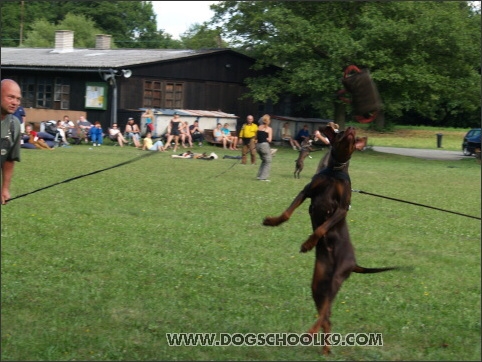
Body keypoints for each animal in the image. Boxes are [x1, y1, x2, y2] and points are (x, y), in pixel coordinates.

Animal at [264, 126, 396, 354]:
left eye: (352, 133)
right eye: (342, 132)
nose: (351, 128)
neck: (334, 171)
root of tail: (354, 264)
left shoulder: (342, 208)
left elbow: (321, 228)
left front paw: (308, 244)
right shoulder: (307, 191)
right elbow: (287, 214)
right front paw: (272, 221)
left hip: (336, 278)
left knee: (326, 313)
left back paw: (311, 334)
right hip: (318, 284)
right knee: (326, 316)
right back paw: (324, 346)